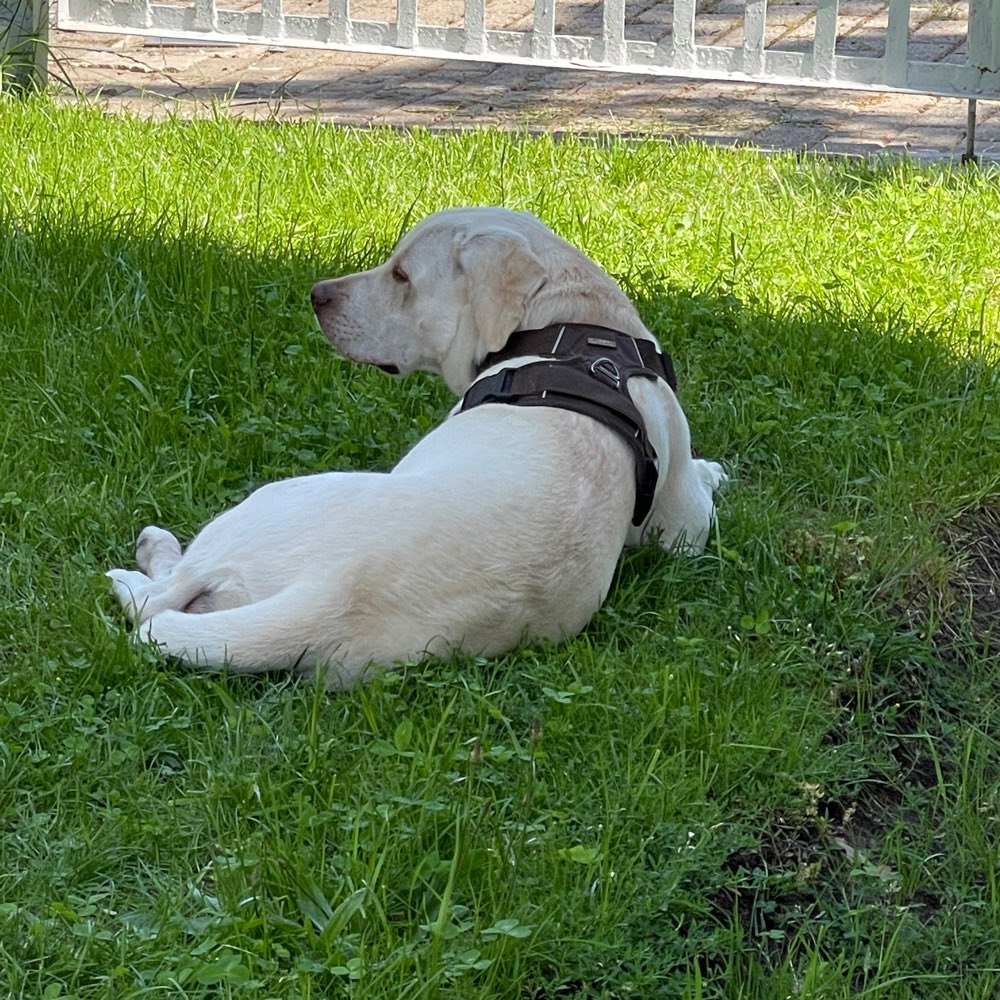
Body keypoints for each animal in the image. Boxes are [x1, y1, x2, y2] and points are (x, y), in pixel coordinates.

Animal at [105, 204, 724, 688]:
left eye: (402, 275)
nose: (316, 295)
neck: (575, 325)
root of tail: (330, 596)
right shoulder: (685, 527)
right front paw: (714, 469)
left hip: (270, 502)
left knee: (157, 598)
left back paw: (151, 552)